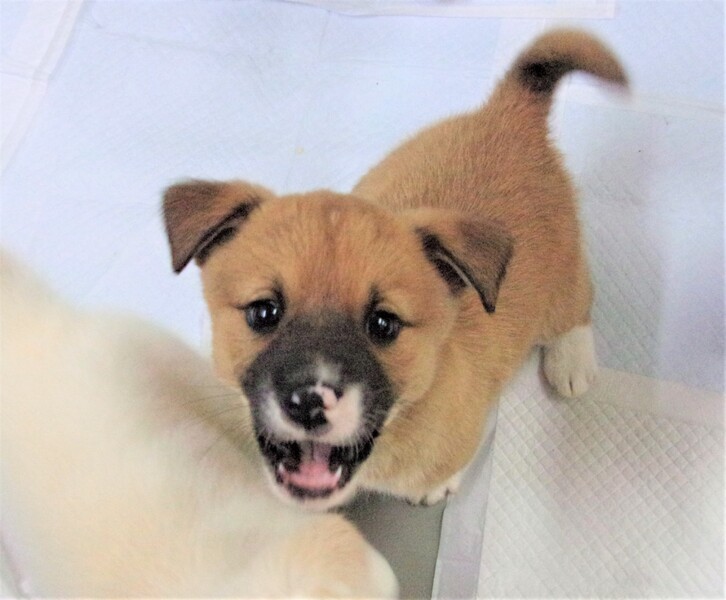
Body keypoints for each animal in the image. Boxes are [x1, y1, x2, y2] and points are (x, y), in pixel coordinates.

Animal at [162, 29, 627, 509]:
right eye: (263, 312)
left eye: (384, 324)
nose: (309, 402)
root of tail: (510, 111)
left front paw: (438, 486)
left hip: (561, 275)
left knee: (577, 301)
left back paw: (571, 361)